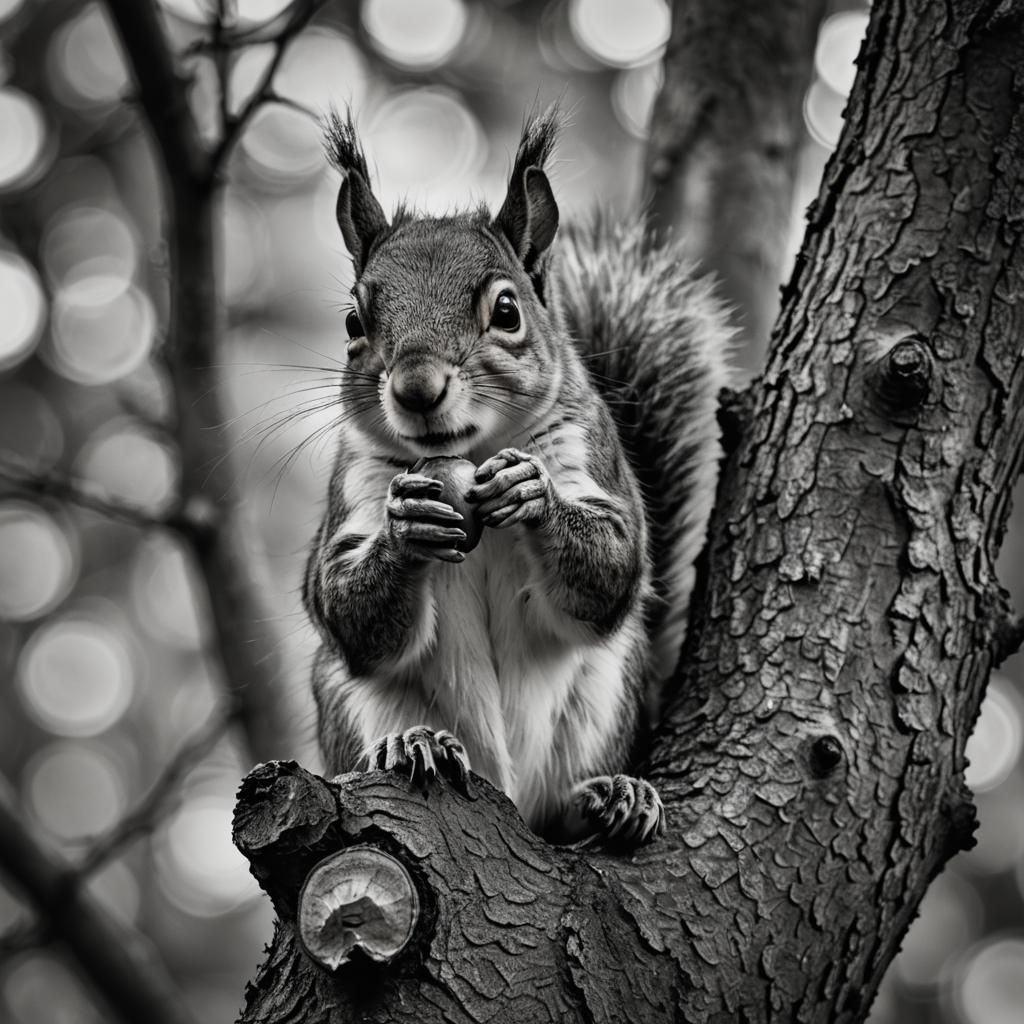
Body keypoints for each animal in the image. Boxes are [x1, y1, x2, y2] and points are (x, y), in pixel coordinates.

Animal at [303, 106, 730, 847]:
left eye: (507, 312)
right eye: (355, 321)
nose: (417, 388)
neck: (473, 451)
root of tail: (510, 800)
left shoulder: (593, 458)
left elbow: (614, 567)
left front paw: (533, 496)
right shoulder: (351, 492)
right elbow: (345, 607)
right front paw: (408, 525)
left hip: (603, 694)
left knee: (562, 807)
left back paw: (611, 797)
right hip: (347, 703)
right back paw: (414, 744)